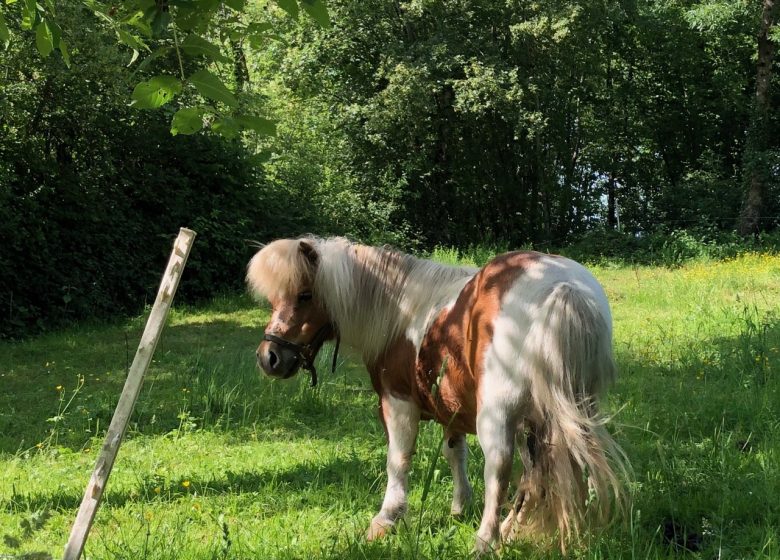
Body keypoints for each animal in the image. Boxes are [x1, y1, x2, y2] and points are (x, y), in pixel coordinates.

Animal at [248, 235, 628, 552]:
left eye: (305, 294)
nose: (269, 357)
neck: (401, 313)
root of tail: (563, 287)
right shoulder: (454, 408)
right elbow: (454, 453)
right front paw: (460, 506)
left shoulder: (397, 402)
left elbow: (398, 459)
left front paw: (386, 519)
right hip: (556, 415)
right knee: (539, 473)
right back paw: (510, 531)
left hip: (501, 416)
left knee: (501, 468)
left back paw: (486, 541)